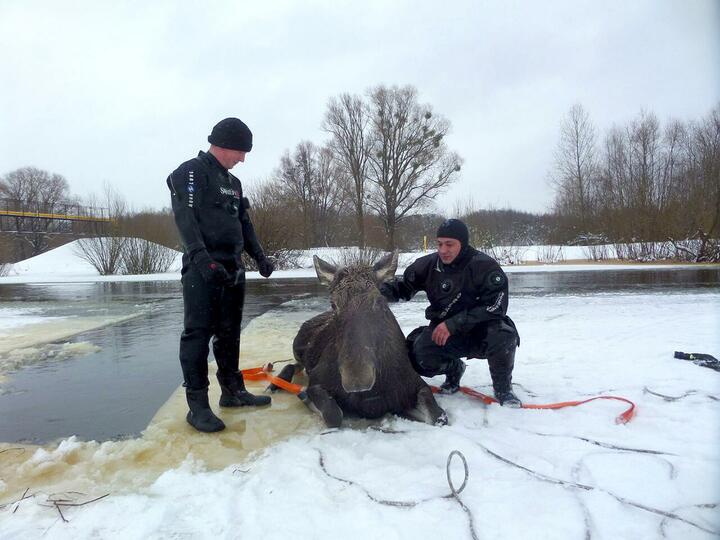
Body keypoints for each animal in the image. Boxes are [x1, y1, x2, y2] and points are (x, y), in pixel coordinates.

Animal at [272, 251, 448, 428]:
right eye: (333, 304)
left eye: (379, 301)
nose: (357, 378)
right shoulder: (316, 379)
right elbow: (333, 415)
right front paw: (304, 396)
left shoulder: (415, 385)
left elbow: (438, 416)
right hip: (297, 348)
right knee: (292, 364)